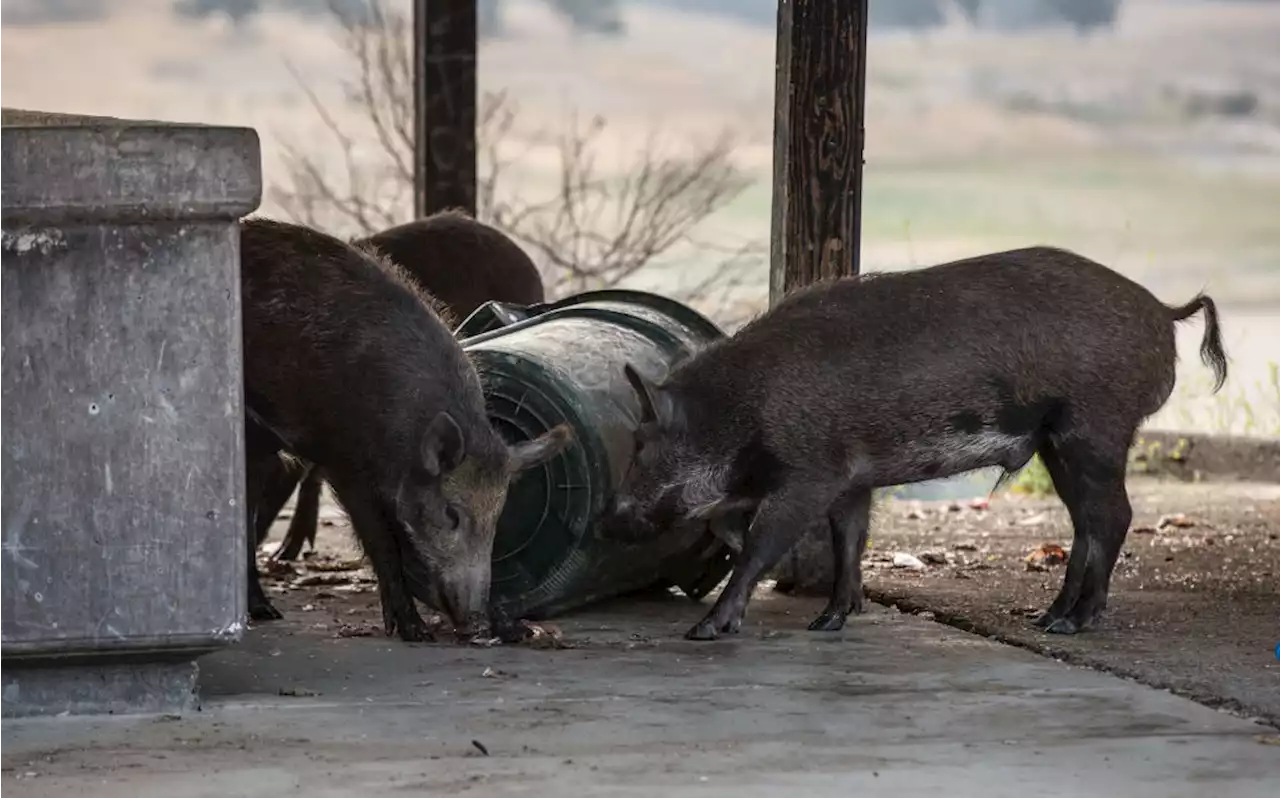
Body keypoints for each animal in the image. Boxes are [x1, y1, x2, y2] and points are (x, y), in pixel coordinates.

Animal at [240, 219, 570, 643]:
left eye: (498, 517)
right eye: (451, 513)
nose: (476, 622)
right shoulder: (344, 463)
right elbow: (383, 543)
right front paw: (415, 632)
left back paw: (265, 610)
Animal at [604, 248, 1223, 643]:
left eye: (642, 441)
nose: (610, 517)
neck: (740, 410)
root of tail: (1163, 311)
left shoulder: (811, 473)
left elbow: (762, 544)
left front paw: (704, 631)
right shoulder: (853, 478)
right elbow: (849, 539)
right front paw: (829, 621)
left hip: (1094, 429)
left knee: (1114, 516)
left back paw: (1074, 624)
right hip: (1060, 443)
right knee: (1086, 523)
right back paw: (1046, 620)